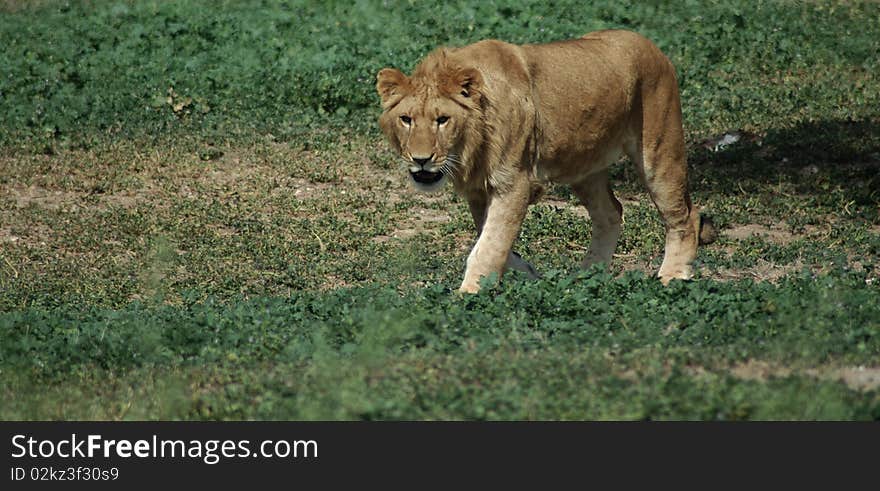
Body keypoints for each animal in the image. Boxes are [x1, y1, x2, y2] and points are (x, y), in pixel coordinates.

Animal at [376, 29, 716, 292]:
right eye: (406, 119)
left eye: (442, 120)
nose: (421, 160)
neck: (468, 148)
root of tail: (651, 45)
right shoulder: (479, 190)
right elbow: (491, 237)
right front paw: (526, 272)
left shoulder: (514, 183)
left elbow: (490, 244)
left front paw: (468, 294)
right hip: (584, 167)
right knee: (611, 213)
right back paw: (586, 277)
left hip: (659, 150)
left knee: (684, 216)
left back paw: (672, 277)